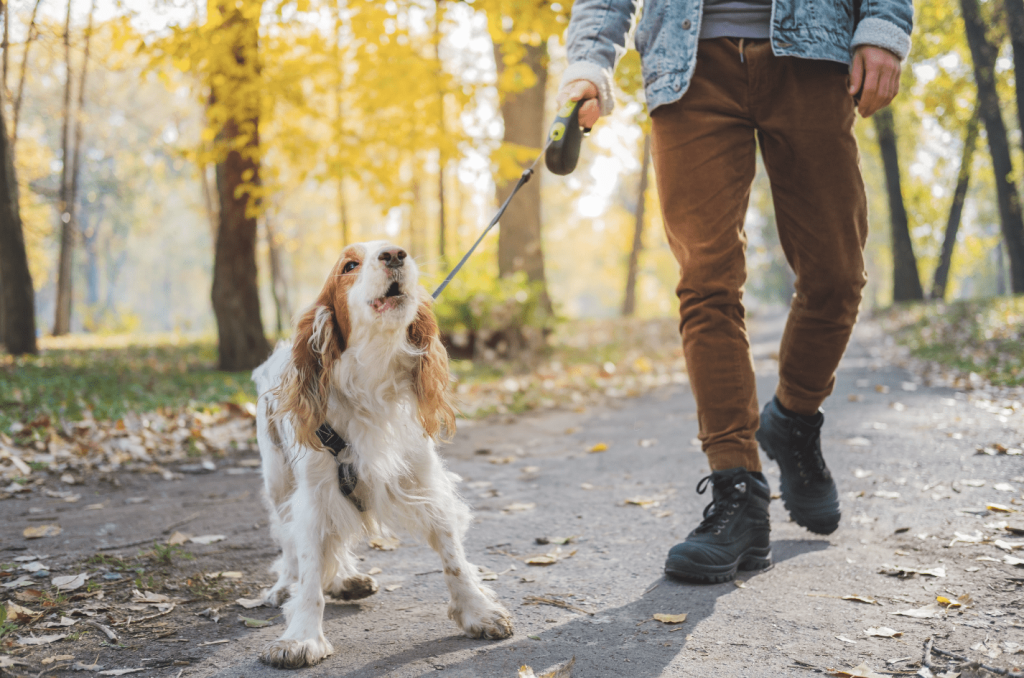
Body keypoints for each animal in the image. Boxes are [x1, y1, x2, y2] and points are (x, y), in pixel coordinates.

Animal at [252, 240, 516, 667]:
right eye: (349, 265)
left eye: (396, 248)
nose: (395, 254)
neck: (371, 380)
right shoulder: (314, 495)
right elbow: (309, 571)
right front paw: (301, 637)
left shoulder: (425, 482)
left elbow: (454, 558)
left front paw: (478, 611)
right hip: (279, 481)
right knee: (289, 543)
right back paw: (285, 585)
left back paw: (346, 579)